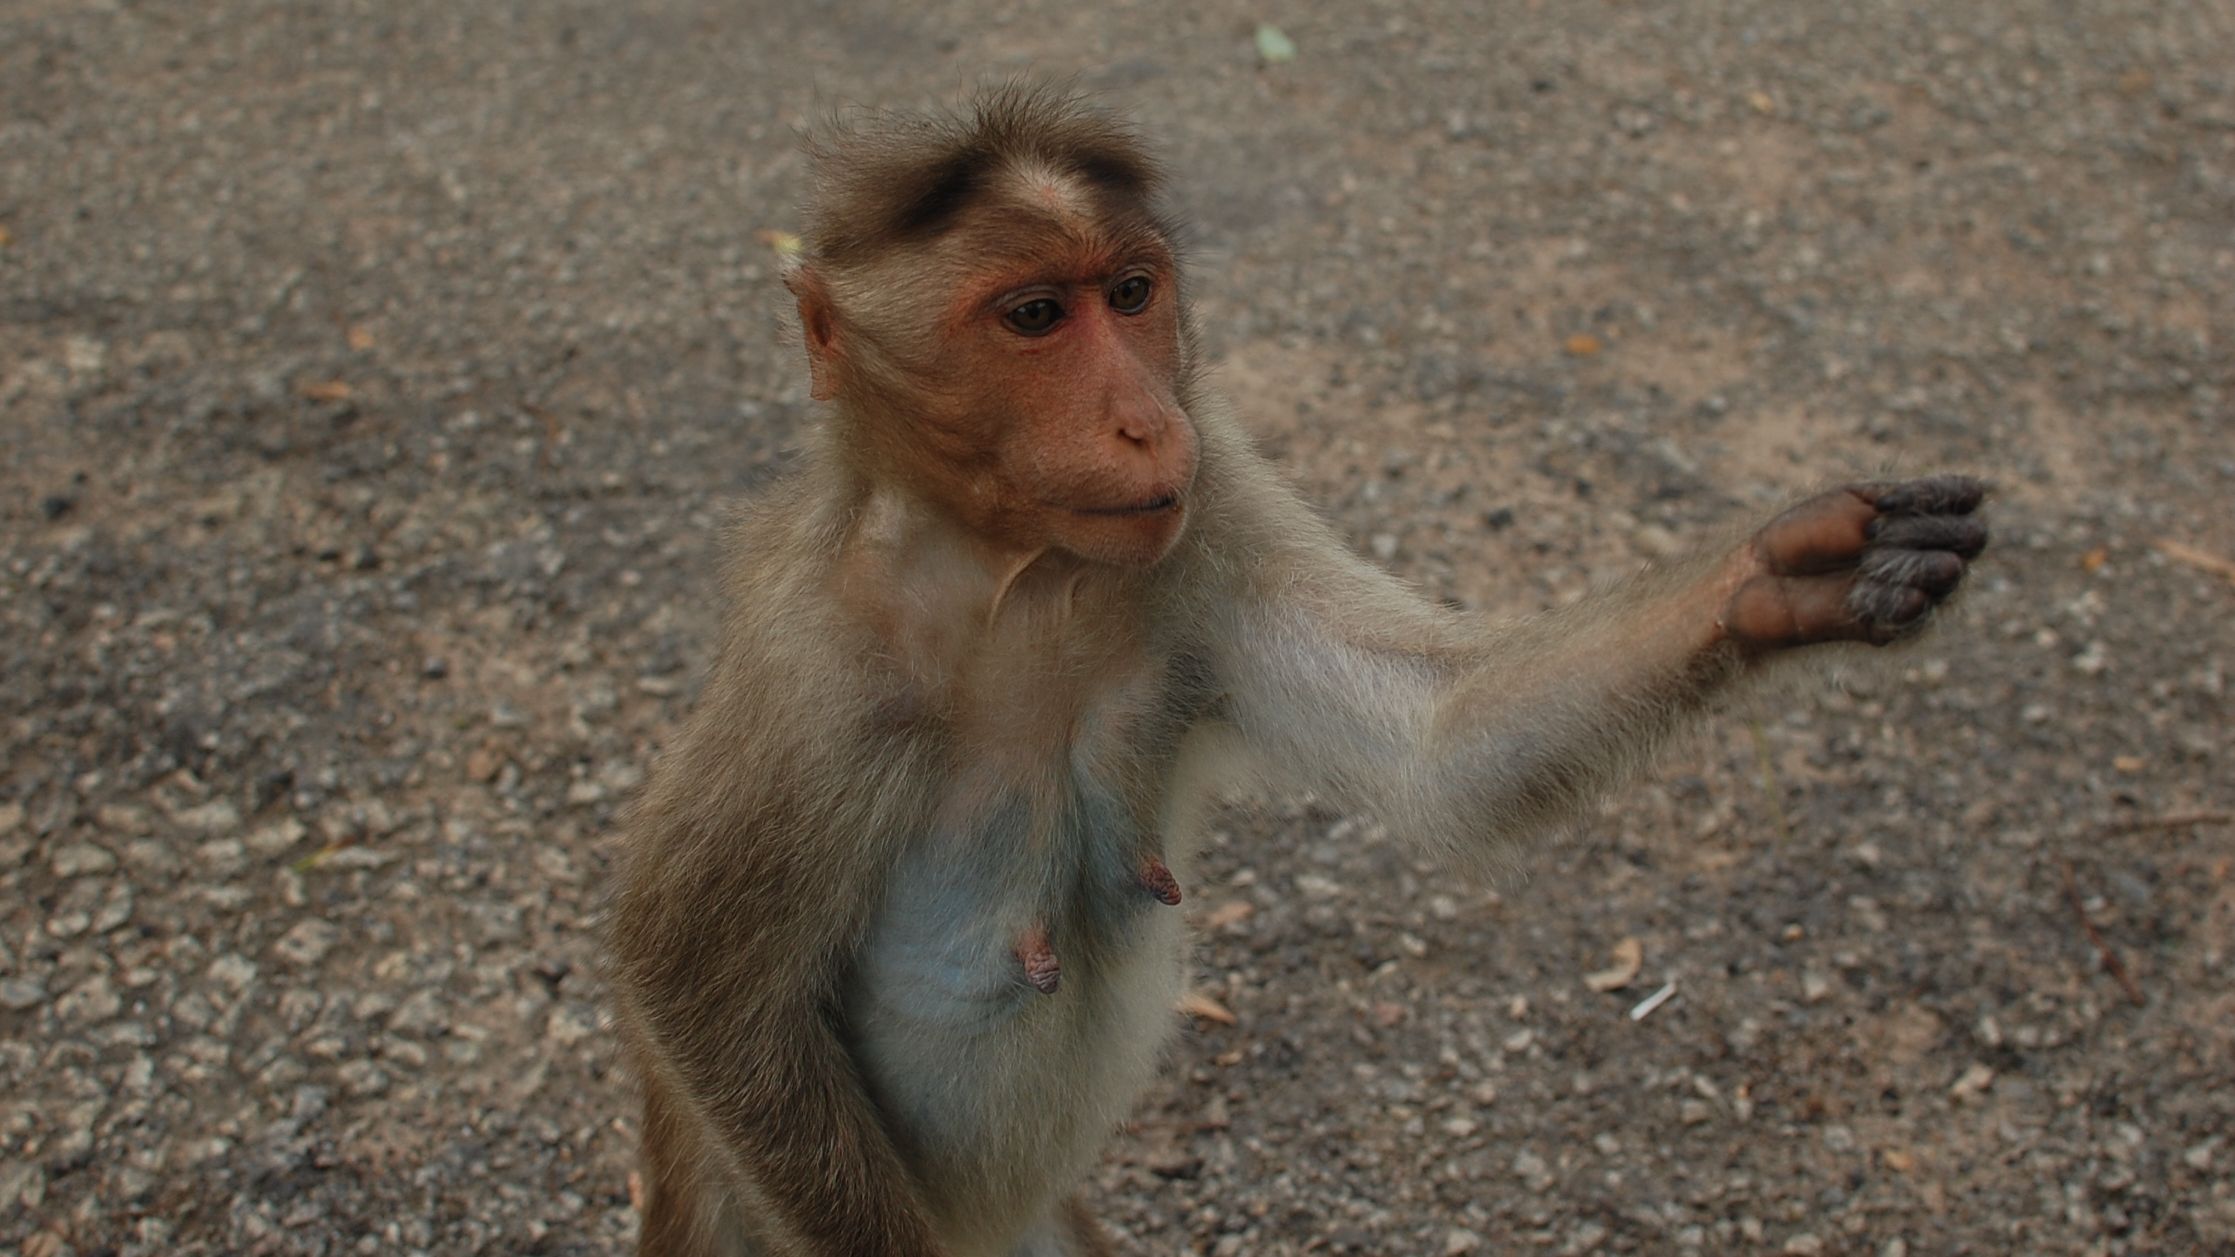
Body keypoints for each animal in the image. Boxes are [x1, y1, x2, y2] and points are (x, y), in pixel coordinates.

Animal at [604, 85, 1989, 1257]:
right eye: (1037, 317)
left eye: (1132, 292)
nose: (1146, 421)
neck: (1018, 581)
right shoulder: (816, 669)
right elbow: (702, 992)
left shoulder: (1210, 514)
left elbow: (1442, 743)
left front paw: (1787, 572)